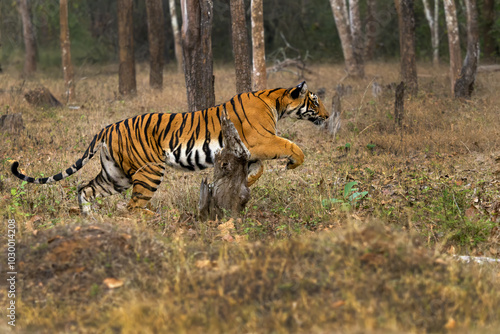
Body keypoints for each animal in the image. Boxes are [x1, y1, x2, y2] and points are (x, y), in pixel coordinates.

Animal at [10, 82, 328, 215]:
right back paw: (150, 218)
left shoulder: (249, 148)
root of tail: (107, 127)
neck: (276, 102)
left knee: (85, 188)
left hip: (115, 175)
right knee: (134, 207)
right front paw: (293, 163)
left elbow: (257, 167)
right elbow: (291, 145)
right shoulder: (261, 139)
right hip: (149, 170)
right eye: (314, 101)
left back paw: (90, 217)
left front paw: (248, 180)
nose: (326, 116)